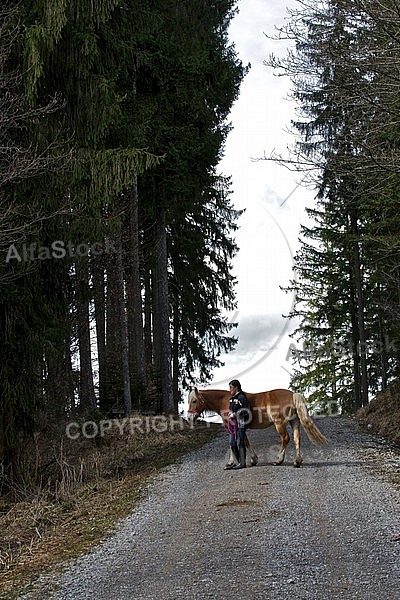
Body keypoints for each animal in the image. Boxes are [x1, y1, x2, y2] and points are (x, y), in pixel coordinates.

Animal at [188, 390, 328, 468]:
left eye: (194, 401)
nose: (189, 418)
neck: (227, 401)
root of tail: (292, 394)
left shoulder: (234, 427)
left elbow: (237, 443)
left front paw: (235, 462)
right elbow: (244, 442)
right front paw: (250, 460)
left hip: (279, 423)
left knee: (285, 438)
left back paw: (278, 460)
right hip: (294, 422)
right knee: (296, 438)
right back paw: (297, 462)